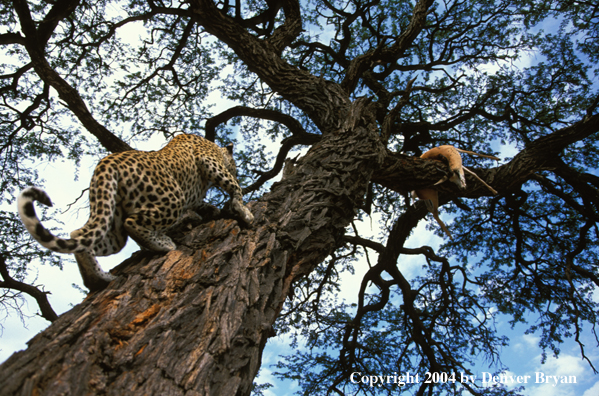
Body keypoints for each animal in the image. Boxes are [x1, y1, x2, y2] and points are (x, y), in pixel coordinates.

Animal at [17, 133, 253, 290]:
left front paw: (210, 211)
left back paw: (98, 279)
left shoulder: (194, 198)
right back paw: (162, 244)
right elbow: (235, 187)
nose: (236, 169)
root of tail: (105, 164)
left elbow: (201, 204)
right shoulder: (210, 162)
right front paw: (244, 211)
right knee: (133, 223)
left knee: (80, 235)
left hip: (112, 222)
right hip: (171, 197)